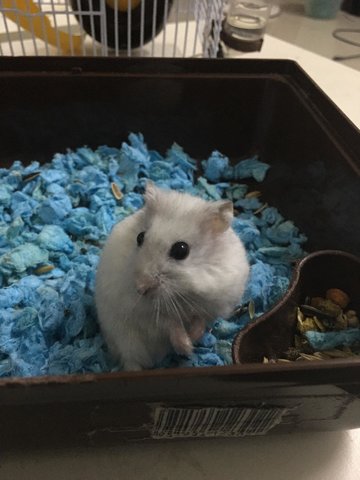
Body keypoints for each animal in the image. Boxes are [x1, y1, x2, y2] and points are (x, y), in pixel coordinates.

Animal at [94, 181, 249, 372]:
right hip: (124, 340)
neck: (183, 292)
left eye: (181, 250)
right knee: (132, 362)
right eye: (139, 237)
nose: (140, 288)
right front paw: (186, 347)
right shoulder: (146, 314)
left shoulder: (214, 306)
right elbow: (170, 323)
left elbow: (200, 321)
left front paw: (192, 341)